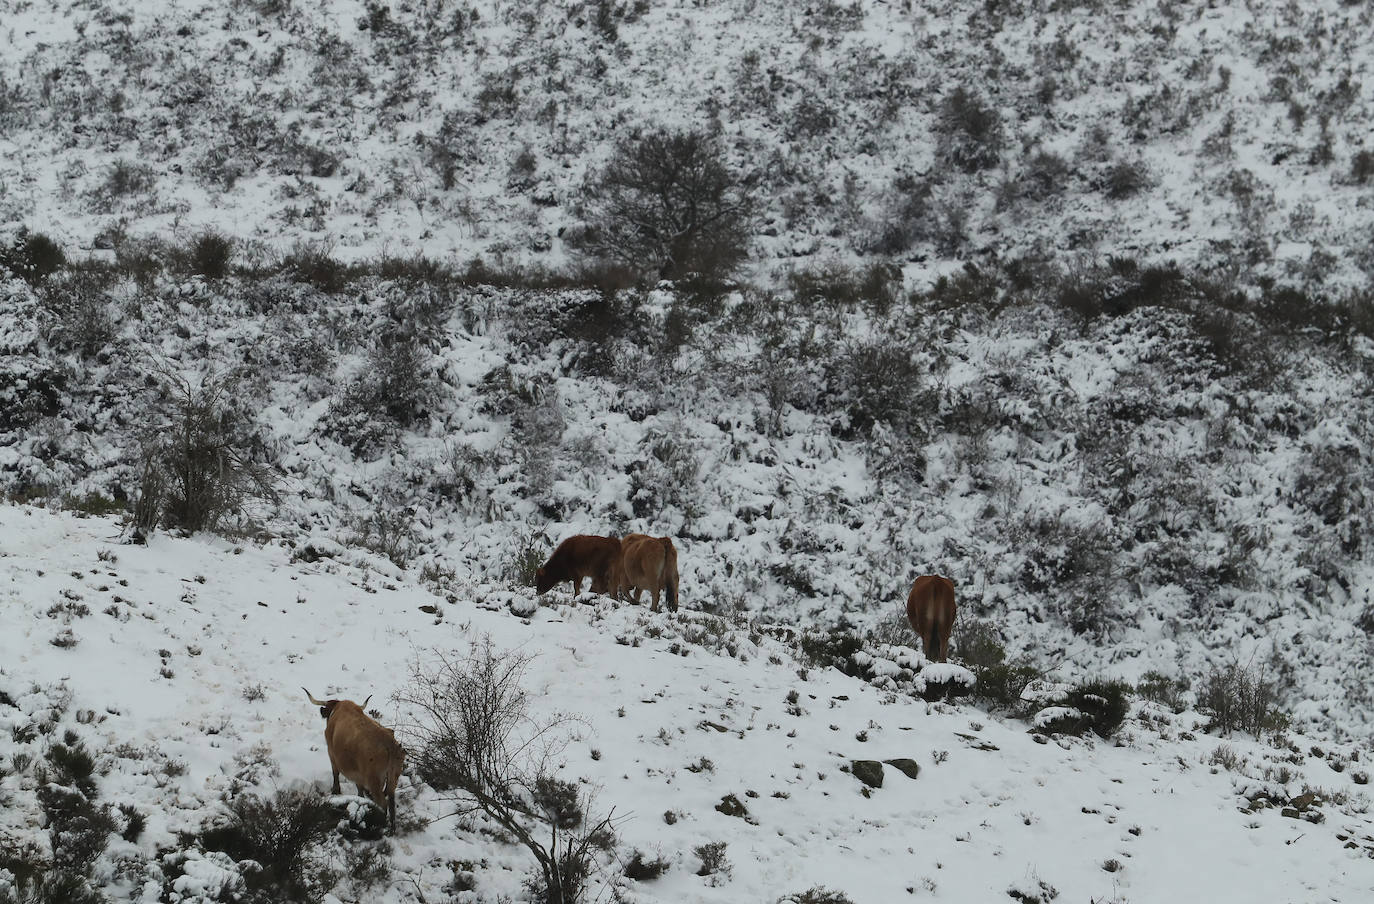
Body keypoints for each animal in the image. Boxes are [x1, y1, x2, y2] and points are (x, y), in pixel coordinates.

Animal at [303, 689, 403, 829]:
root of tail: (389, 744)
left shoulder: (332, 754)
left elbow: (335, 773)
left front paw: (336, 791)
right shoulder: (358, 774)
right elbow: (359, 788)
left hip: (374, 781)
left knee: (383, 803)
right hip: (394, 777)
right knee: (391, 802)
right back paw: (391, 828)